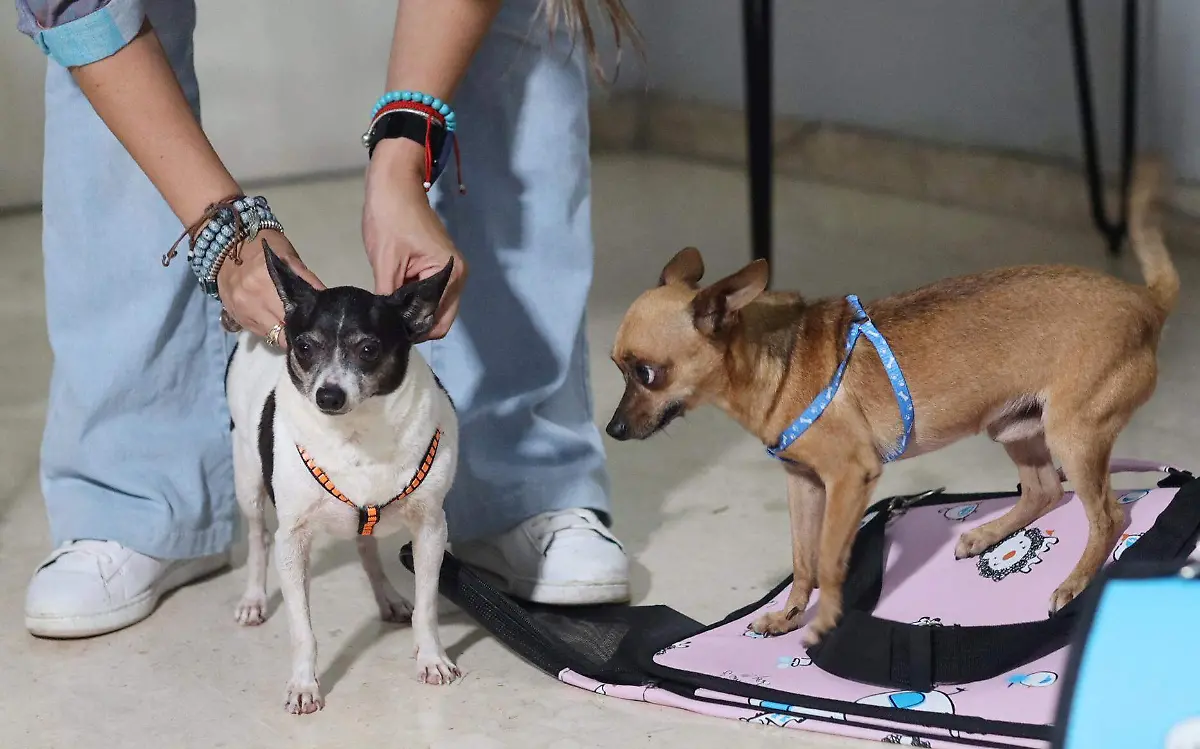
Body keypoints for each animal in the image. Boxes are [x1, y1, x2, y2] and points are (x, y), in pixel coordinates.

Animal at [225, 244, 458, 715]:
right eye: (304, 347)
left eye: (368, 349)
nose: (328, 395)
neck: (357, 434)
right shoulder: (292, 542)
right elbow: (302, 629)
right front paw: (303, 684)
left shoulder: (430, 529)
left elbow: (427, 607)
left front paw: (431, 658)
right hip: (249, 483)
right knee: (258, 539)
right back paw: (254, 599)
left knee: (366, 546)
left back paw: (387, 597)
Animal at [609, 159, 1180, 648]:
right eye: (618, 369)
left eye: (647, 374)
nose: (612, 431)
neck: (777, 359)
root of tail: (1146, 299)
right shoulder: (803, 484)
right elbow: (802, 559)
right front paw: (790, 615)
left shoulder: (848, 478)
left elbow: (828, 559)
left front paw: (824, 622)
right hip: (1016, 426)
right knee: (1045, 490)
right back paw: (988, 533)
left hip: (1073, 435)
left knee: (1108, 516)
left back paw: (1077, 581)